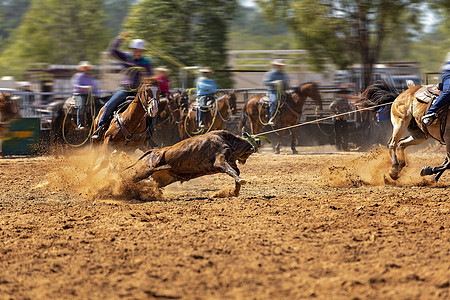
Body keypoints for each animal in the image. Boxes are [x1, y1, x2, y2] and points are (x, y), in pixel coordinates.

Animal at [125, 130, 260, 196]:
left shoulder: (230, 161)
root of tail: (155, 151)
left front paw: (235, 191)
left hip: (164, 179)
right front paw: (241, 181)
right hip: (145, 170)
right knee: (130, 177)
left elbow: (235, 171)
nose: (255, 145)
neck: (228, 141)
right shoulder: (220, 160)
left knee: (150, 184)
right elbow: (231, 171)